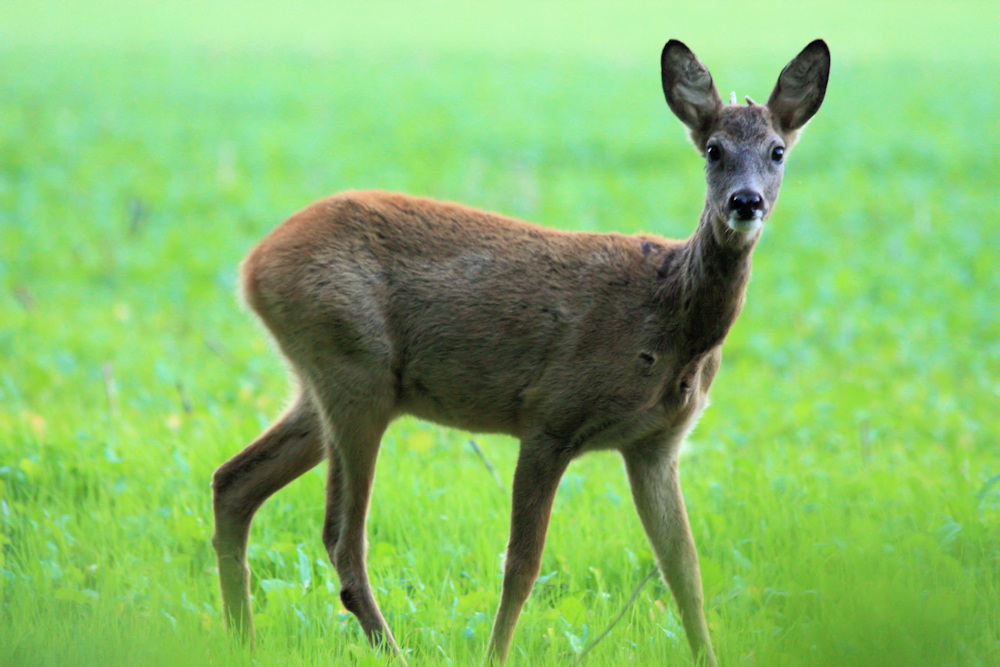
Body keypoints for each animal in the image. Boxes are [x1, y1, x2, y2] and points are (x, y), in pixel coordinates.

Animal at [209, 39, 828, 664]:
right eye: (713, 149)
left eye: (777, 151)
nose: (745, 201)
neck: (669, 318)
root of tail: (252, 267)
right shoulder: (550, 418)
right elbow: (522, 567)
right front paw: (495, 655)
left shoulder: (656, 444)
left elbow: (684, 571)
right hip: (352, 371)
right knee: (340, 536)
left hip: (331, 386)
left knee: (233, 482)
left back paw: (242, 638)